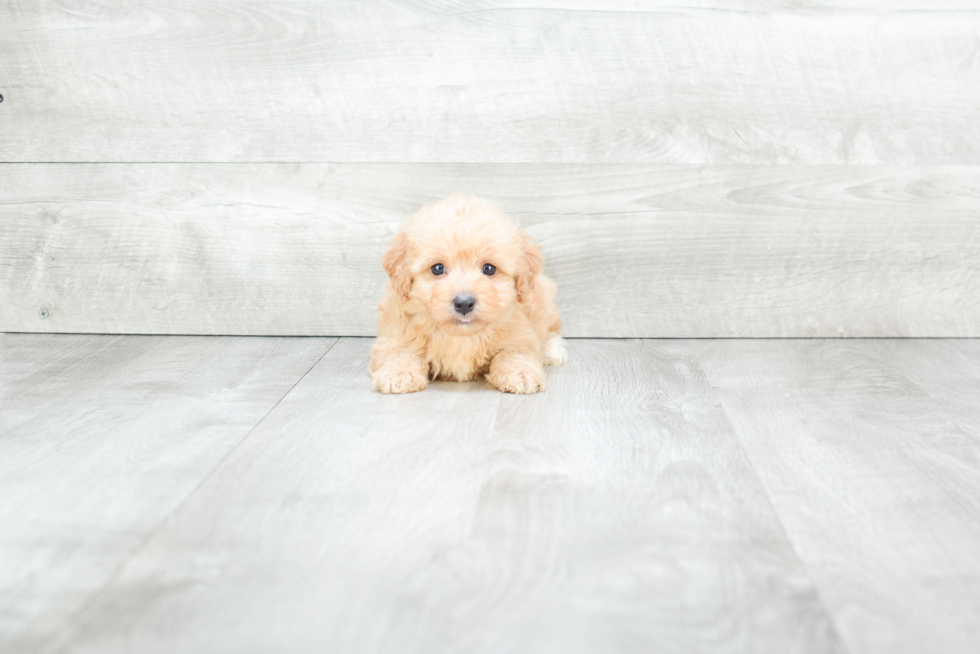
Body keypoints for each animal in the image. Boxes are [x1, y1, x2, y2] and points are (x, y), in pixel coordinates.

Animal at [368, 193, 568, 394]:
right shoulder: (395, 331)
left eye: (489, 269)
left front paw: (520, 374)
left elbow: (514, 351)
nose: (464, 303)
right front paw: (399, 373)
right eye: (437, 268)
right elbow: (398, 350)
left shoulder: (521, 333)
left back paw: (552, 350)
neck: (462, 336)